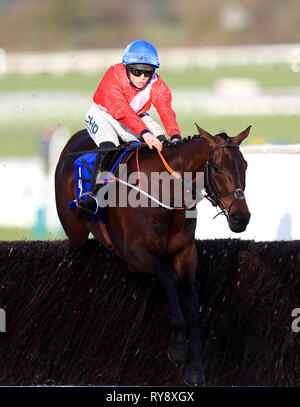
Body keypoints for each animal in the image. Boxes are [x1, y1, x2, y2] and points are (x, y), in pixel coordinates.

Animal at [55, 126, 251, 388]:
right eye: (217, 167)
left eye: (245, 165)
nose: (241, 218)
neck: (166, 194)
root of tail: (74, 139)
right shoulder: (134, 255)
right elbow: (168, 277)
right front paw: (178, 347)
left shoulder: (186, 252)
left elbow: (191, 300)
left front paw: (195, 367)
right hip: (75, 231)